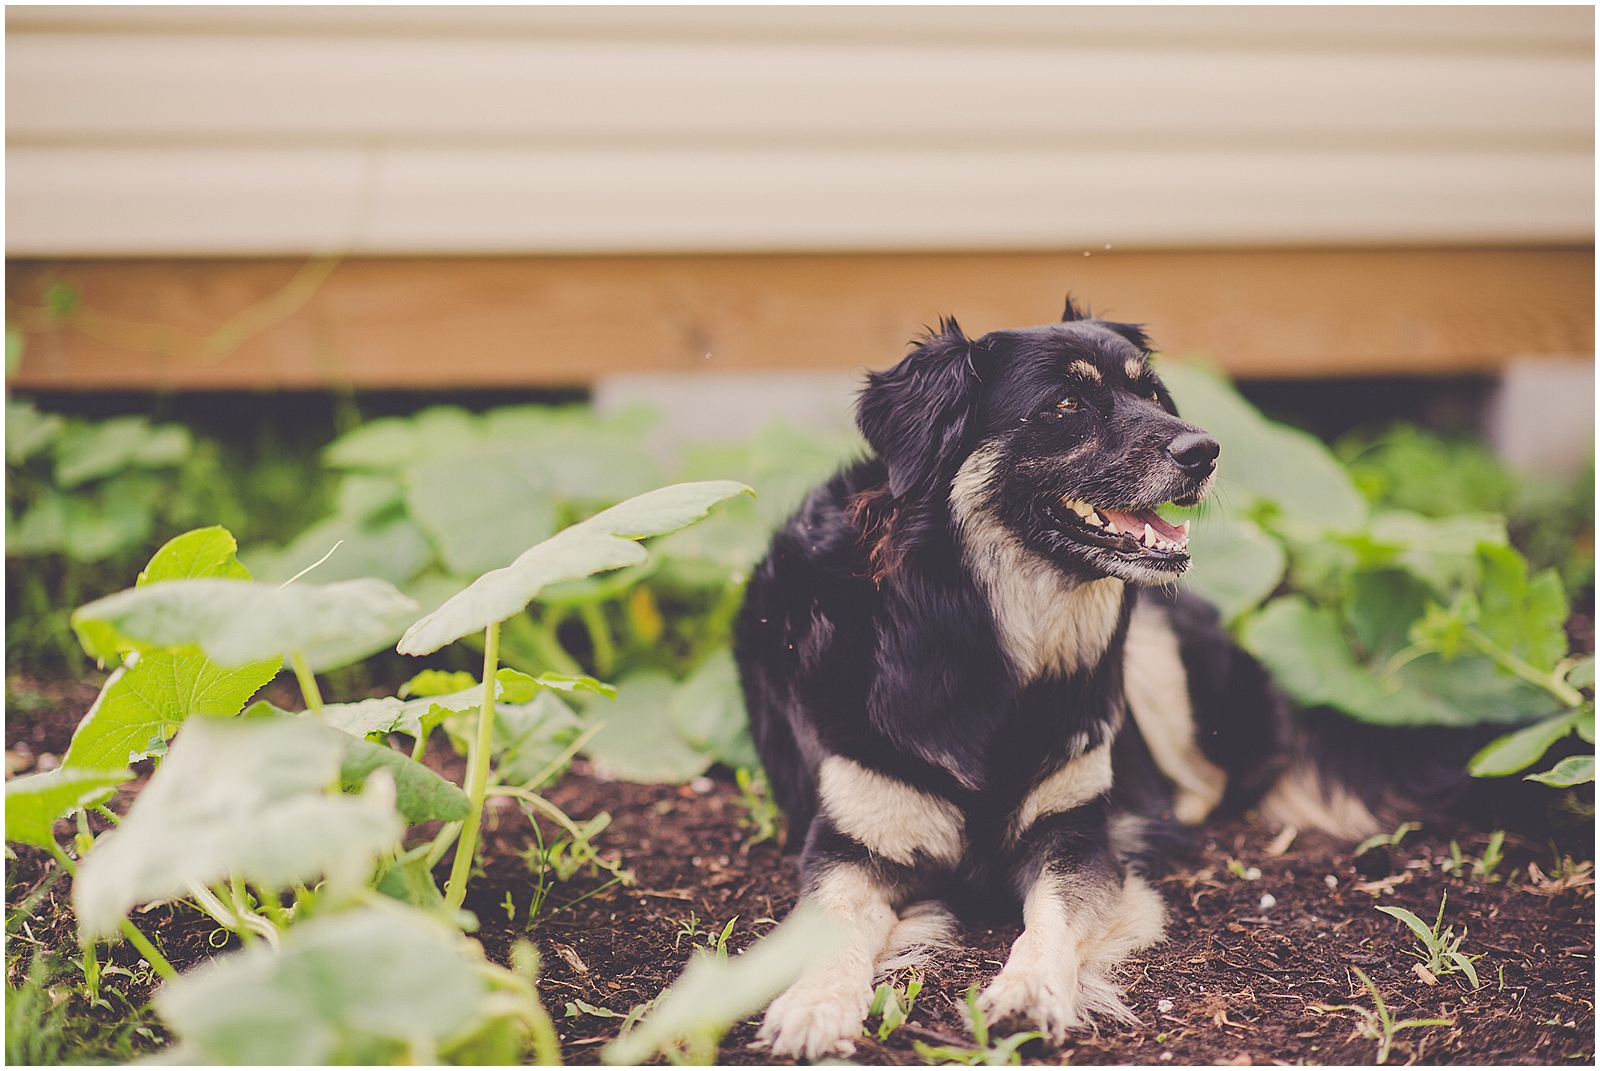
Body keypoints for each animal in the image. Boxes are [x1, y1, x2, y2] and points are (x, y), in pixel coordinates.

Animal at [732, 300, 1465, 1062]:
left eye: (1152, 394)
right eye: (1065, 404)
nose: (1205, 451)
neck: (978, 638)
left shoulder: (1076, 835)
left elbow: (1052, 916)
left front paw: (1029, 988)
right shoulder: (849, 845)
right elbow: (836, 924)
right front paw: (815, 1002)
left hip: (1157, 653)